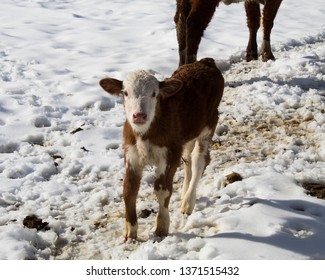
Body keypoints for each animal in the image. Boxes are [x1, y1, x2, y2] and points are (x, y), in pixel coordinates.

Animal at [100, 58, 224, 240]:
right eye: (125, 93)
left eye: (154, 94)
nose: (139, 115)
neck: (146, 133)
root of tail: (205, 61)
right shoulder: (131, 156)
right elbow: (129, 190)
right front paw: (130, 232)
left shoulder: (170, 155)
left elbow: (162, 190)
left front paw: (161, 227)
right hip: (188, 134)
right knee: (188, 160)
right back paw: (184, 195)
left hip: (209, 123)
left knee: (199, 161)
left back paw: (188, 202)